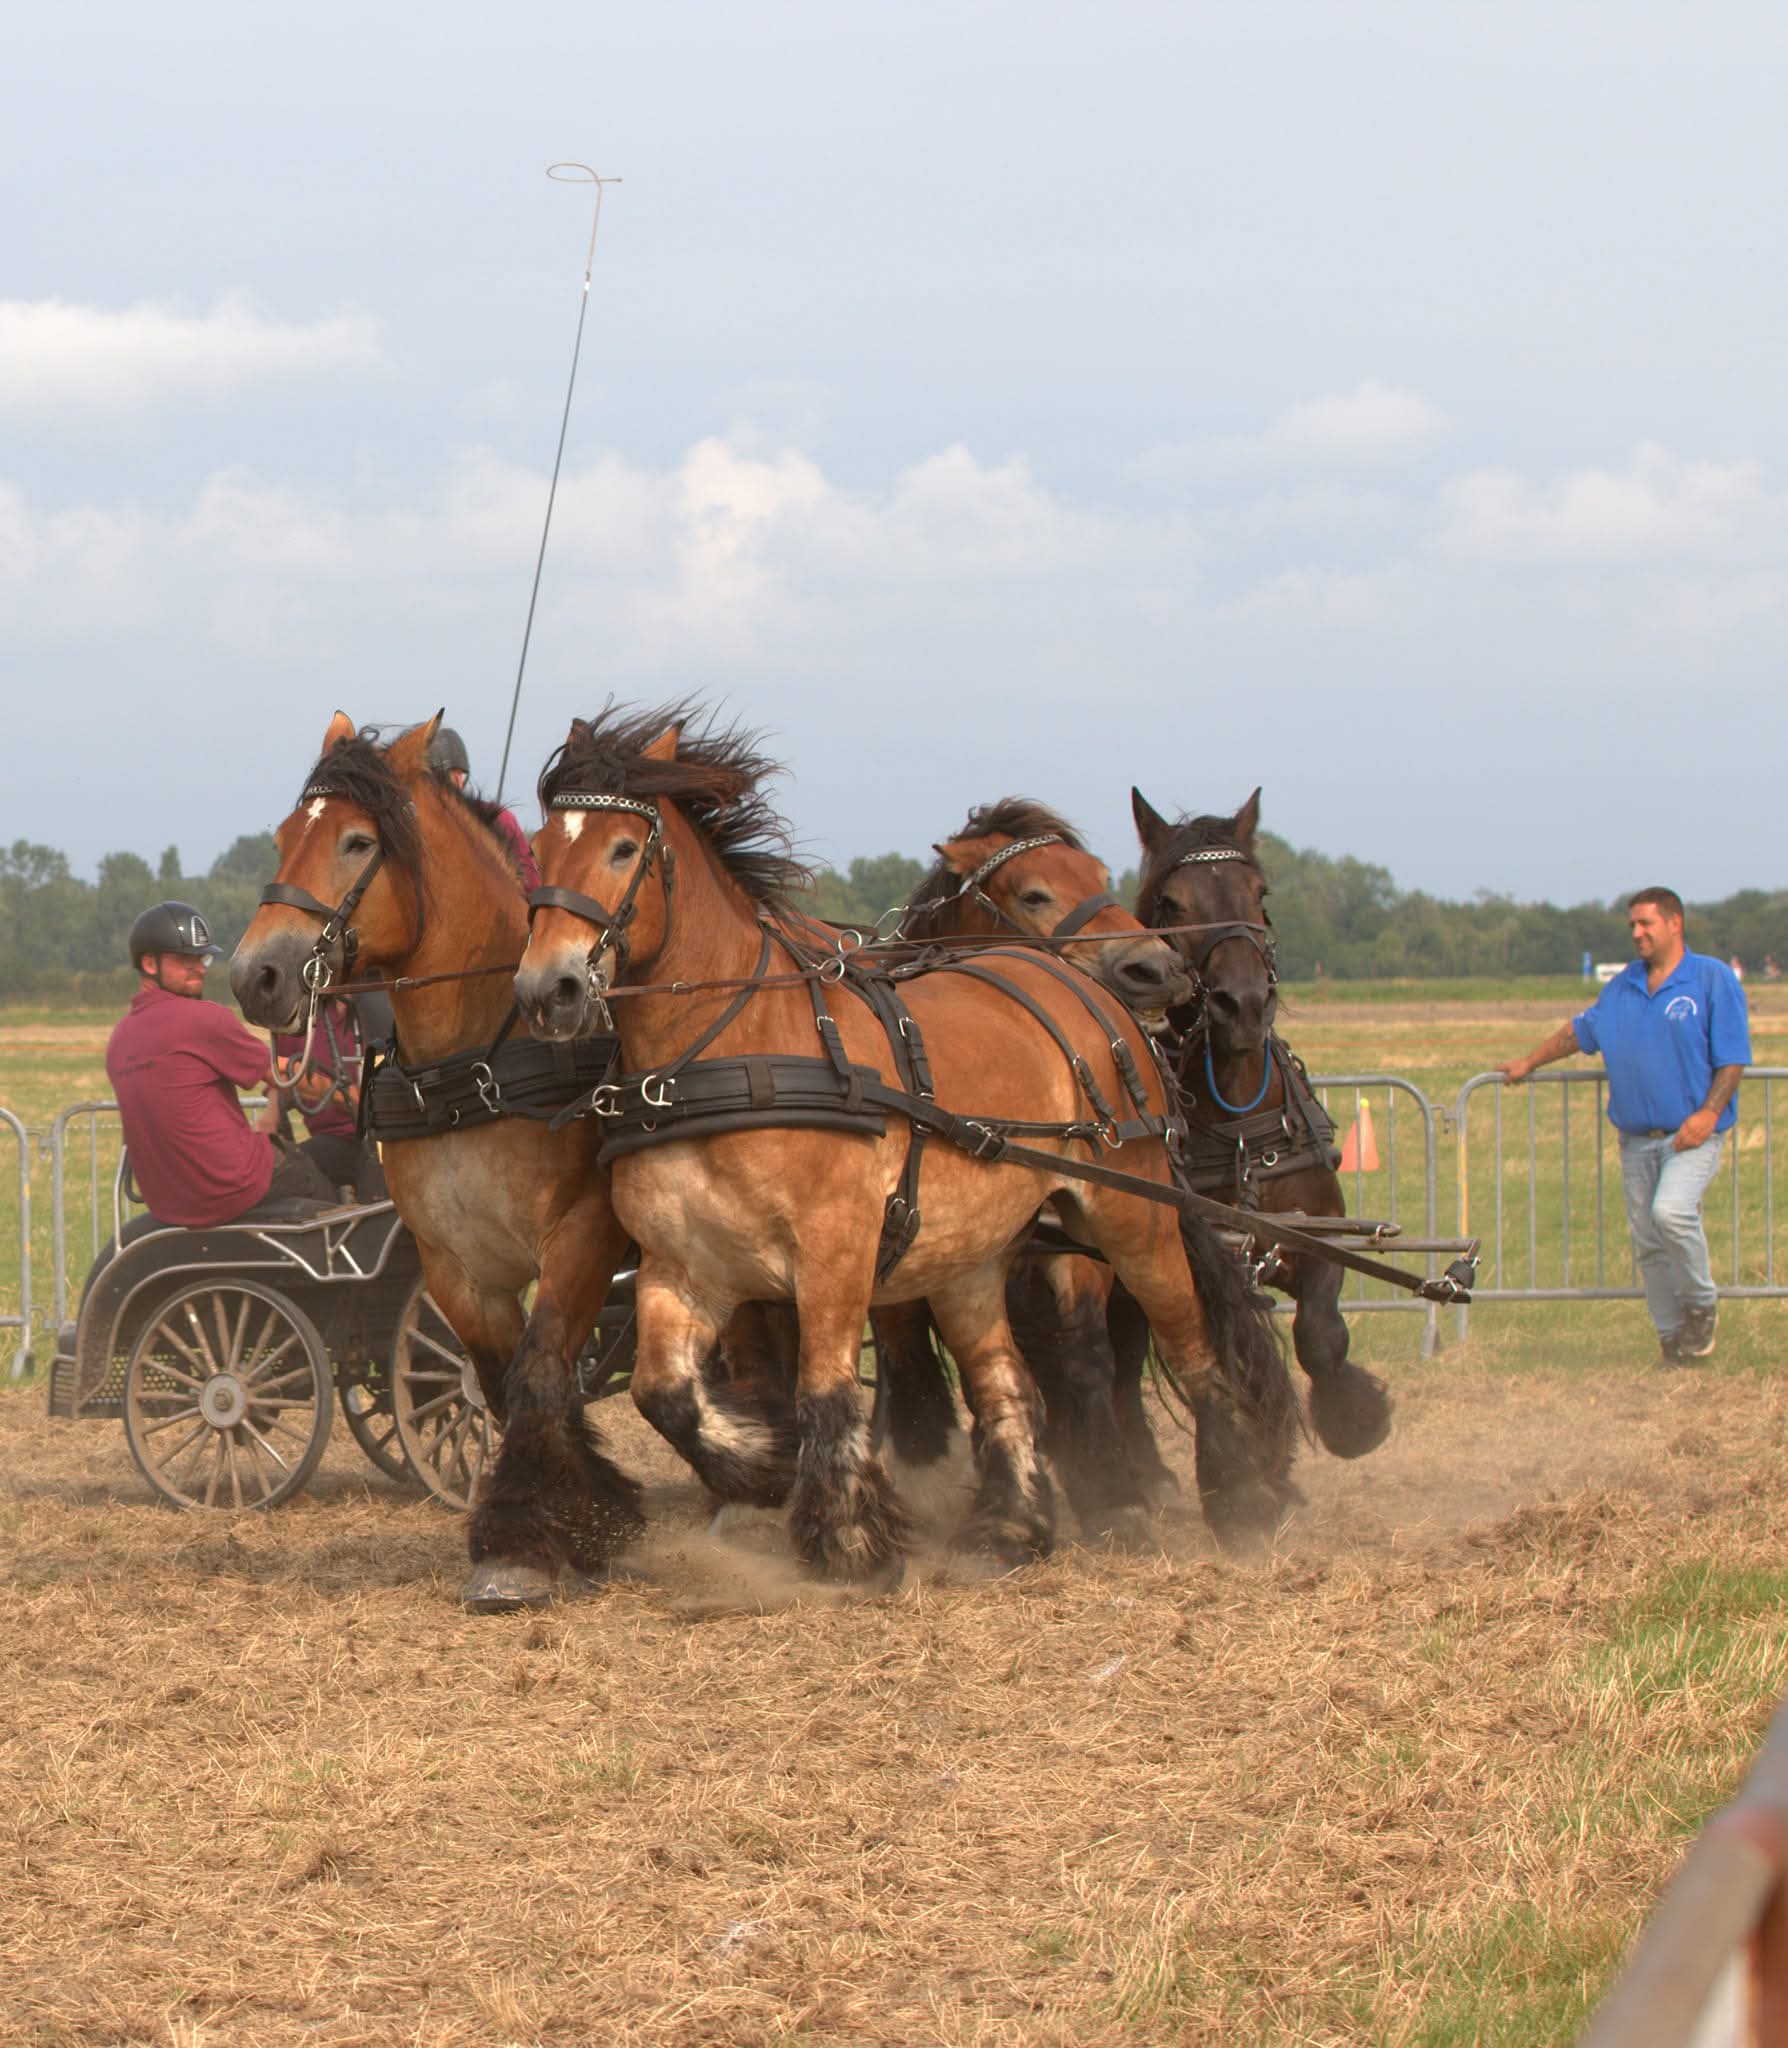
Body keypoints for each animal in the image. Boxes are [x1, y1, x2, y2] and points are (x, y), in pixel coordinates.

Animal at [229, 714, 648, 1609]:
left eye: (357, 841)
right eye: (283, 836)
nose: (255, 975)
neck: (477, 1060)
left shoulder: (583, 1235)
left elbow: (540, 1372)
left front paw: (561, 1532)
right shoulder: (453, 1264)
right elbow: (494, 1381)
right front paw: (553, 1527)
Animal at [513, 704, 1300, 1580]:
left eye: (623, 848)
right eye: (539, 848)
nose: (548, 988)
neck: (727, 1054)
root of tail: (1091, 998)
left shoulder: (835, 1253)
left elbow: (826, 1394)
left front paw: (850, 1541)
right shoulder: (686, 1267)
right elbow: (665, 1396)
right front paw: (762, 1467)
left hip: (1132, 1219)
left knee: (1191, 1347)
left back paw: (1241, 1500)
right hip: (969, 1256)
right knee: (1005, 1383)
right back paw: (1008, 1527)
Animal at [1130, 787, 1392, 1458]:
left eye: (1260, 893)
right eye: (1171, 902)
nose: (1244, 1003)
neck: (1242, 1131)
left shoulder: (1318, 1231)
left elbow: (1321, 1336)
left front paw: (1355, 1417)